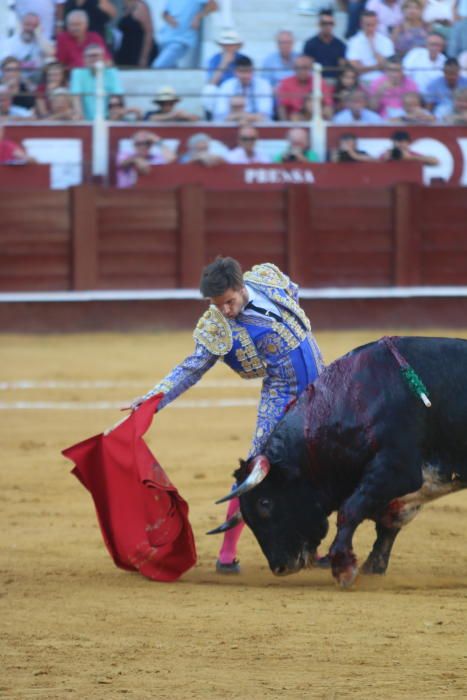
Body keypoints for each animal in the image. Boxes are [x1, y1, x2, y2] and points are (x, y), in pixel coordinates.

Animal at [210, 336, 467, 588]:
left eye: (265, 503)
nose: (280, 568)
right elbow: (387, 524)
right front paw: (372, 569)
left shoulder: (397, 470)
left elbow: (350, 510)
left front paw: (344, 568)